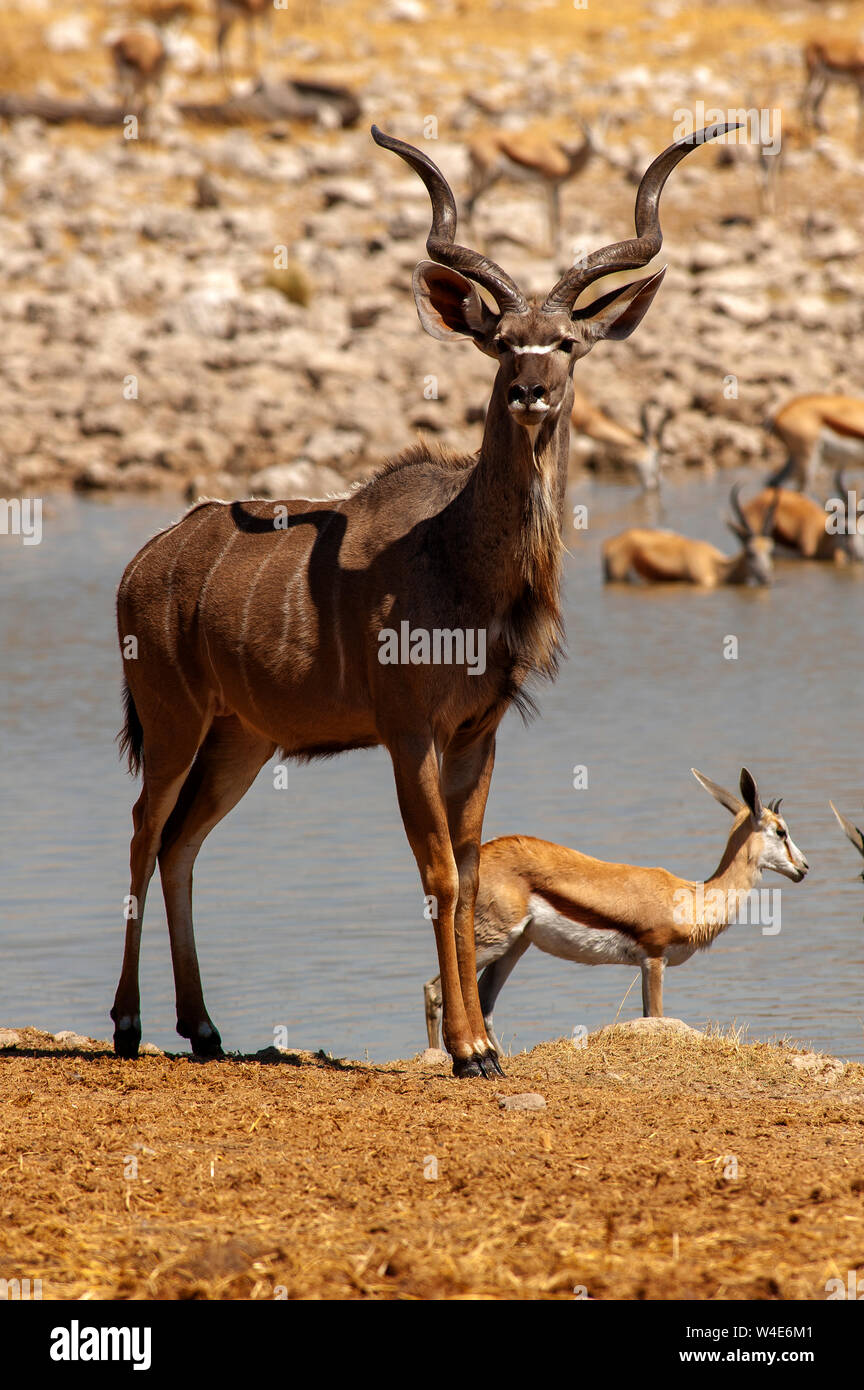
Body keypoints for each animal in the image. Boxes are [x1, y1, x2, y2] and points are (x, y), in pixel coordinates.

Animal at [427, 767, 811, 1045]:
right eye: (781, 831)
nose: (804, 868)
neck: (693, 897)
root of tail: (483, 855)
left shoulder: (644, 964)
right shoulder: (654, 960)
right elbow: (656, 1016)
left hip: (514, 947)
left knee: (485, 1003)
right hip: (491, 942)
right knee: (436, 990)